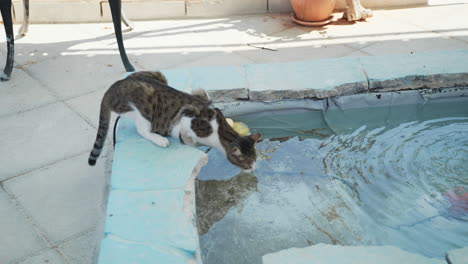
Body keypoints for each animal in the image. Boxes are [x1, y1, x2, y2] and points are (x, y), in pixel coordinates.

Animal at [88, 71, 262, 172]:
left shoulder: (201, 95)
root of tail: (111, 90)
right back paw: (159, 139)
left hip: (158, 75)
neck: (218, 130)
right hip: (145, 103)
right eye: (247, 163)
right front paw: (190, 144)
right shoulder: (187, 118)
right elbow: (186, 134)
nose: (254, 168)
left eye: (255, 159)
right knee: (141, 129)